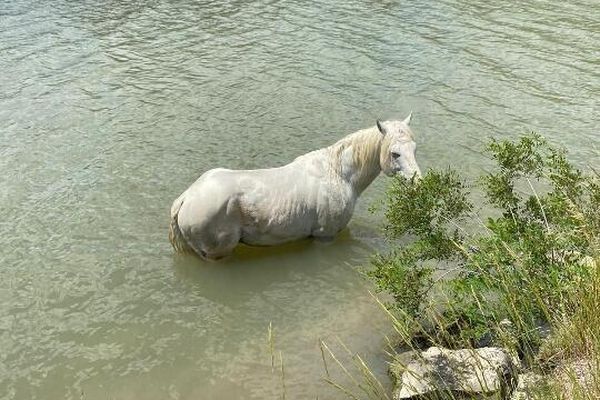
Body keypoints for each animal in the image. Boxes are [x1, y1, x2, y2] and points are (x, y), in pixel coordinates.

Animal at [169, 114, 422, 260]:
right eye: (395, 153)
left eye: (414, 148)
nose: (418, 182)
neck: (339, 175)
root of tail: (186, 199)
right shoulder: (325, 237)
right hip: (215, 254)